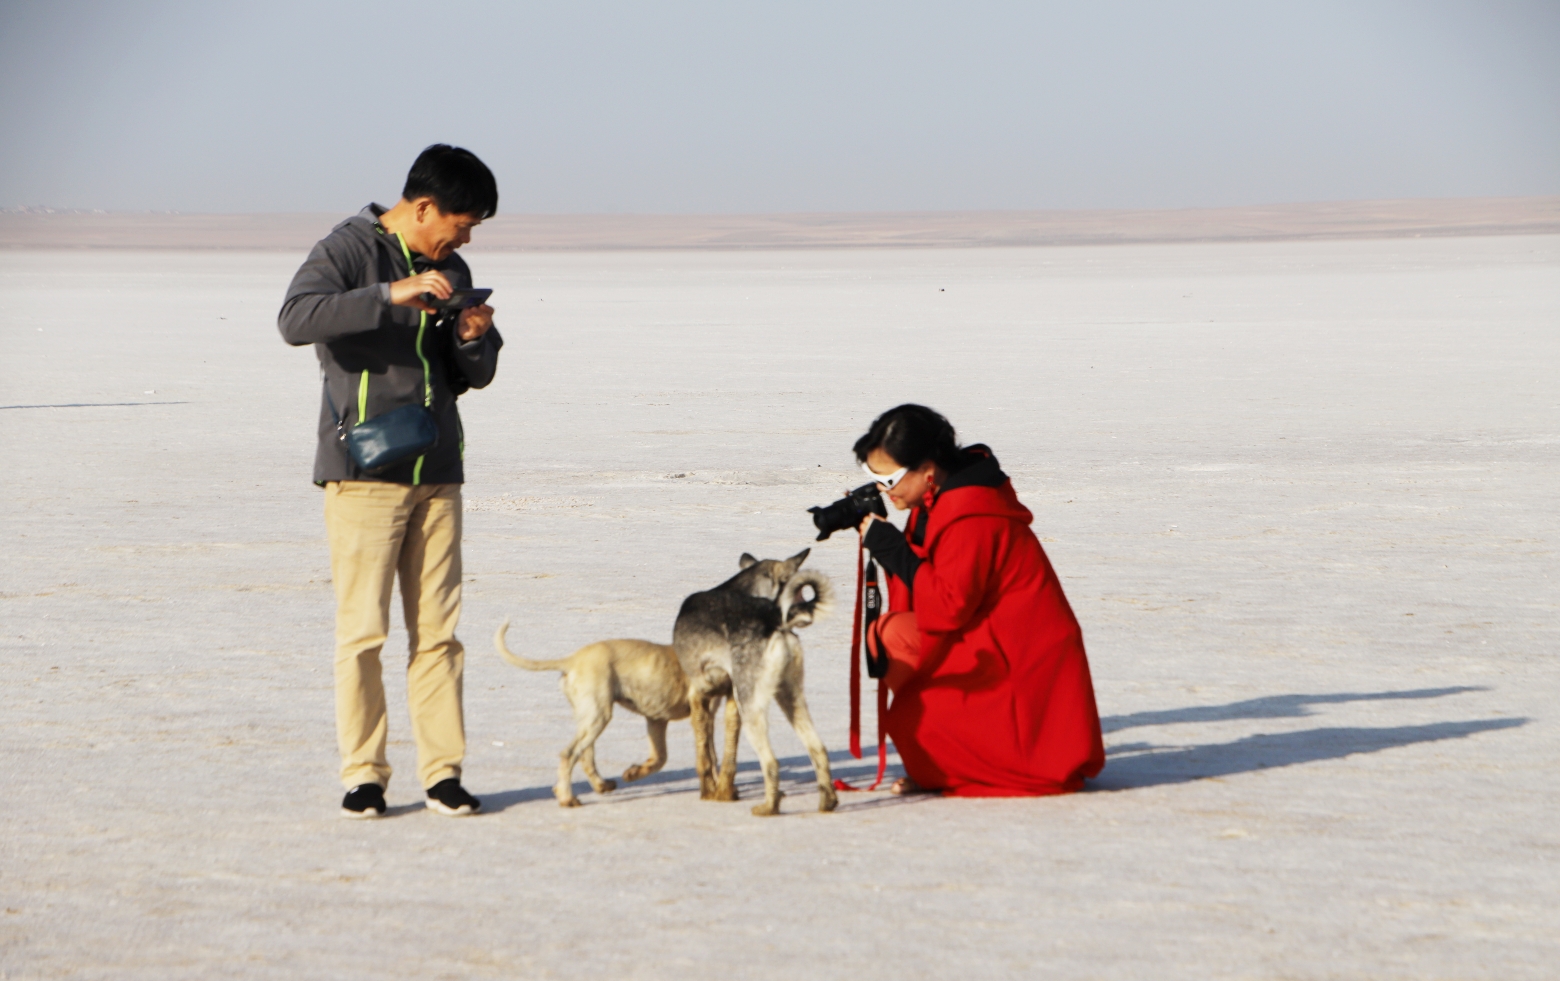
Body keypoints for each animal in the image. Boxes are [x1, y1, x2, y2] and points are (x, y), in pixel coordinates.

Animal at [492, 620, 736, 804]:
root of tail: (572, 660)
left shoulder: (657, 719)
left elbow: (662, 757)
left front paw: (634, 772)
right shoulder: (699, 710)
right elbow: (704, 756)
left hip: (590, 716)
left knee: (585, 755)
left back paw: (600, 785)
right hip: (599, 715)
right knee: (569, 754)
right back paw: (567, 798)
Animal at [673, 545, 842, 817]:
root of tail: (773, 618)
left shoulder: (699, 696)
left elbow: (705, 755)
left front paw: (710, 793)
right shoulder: (728, 701)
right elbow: (726, 757)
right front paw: (725, 793)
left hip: (752, 708)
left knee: (770, 761)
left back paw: (769, 807)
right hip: (789, 699)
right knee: (818, 749)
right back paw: (827, 802)